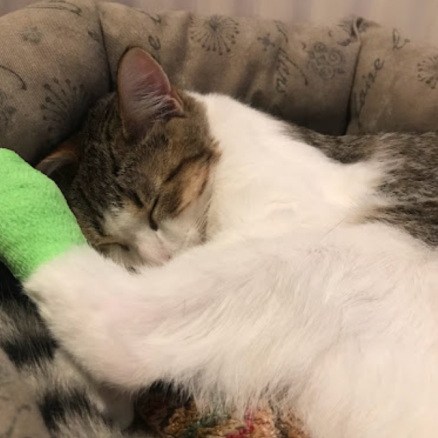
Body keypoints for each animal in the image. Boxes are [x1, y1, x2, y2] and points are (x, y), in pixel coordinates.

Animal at [9, 45, 438, 438]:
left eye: (154, 204)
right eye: (114, 242)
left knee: (121, 325)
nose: (157, 260)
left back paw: (19, 191)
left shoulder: (286, 213)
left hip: (350, 250)